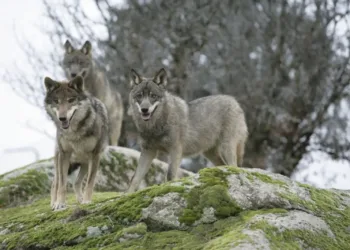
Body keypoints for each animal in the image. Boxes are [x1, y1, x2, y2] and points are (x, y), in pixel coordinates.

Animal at [44, 75, 108, 210]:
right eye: (56, 101)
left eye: (71, 100)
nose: (62, 118)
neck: (74, 132)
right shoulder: (64, 154)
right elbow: (62, 184)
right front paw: (60, 204)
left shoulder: (95, 155)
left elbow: (90, 182)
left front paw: (86, 201)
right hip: (62, 161)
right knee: (55, 184)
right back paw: (53, 203)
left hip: (85, 163)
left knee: (76, 182)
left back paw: (80, 199)